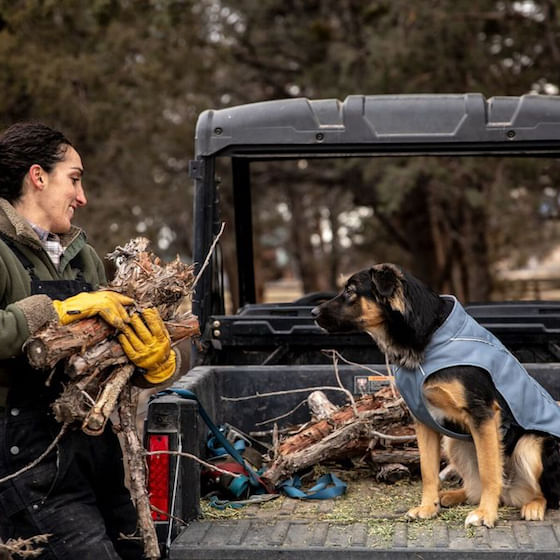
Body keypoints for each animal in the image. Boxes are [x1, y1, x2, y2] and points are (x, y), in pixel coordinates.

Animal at [310, 262, 560, 524]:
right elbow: (428, 471)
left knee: (547, 494)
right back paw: (453, 496)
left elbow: (490, 471)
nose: (313, 313)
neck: (428, 337)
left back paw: (532, 505)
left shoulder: (483, 415)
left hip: (531, 444)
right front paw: (428, 507)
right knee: (479, 486)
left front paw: (485, 514)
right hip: (455, 443)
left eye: (350, 291)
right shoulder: (423, 419)